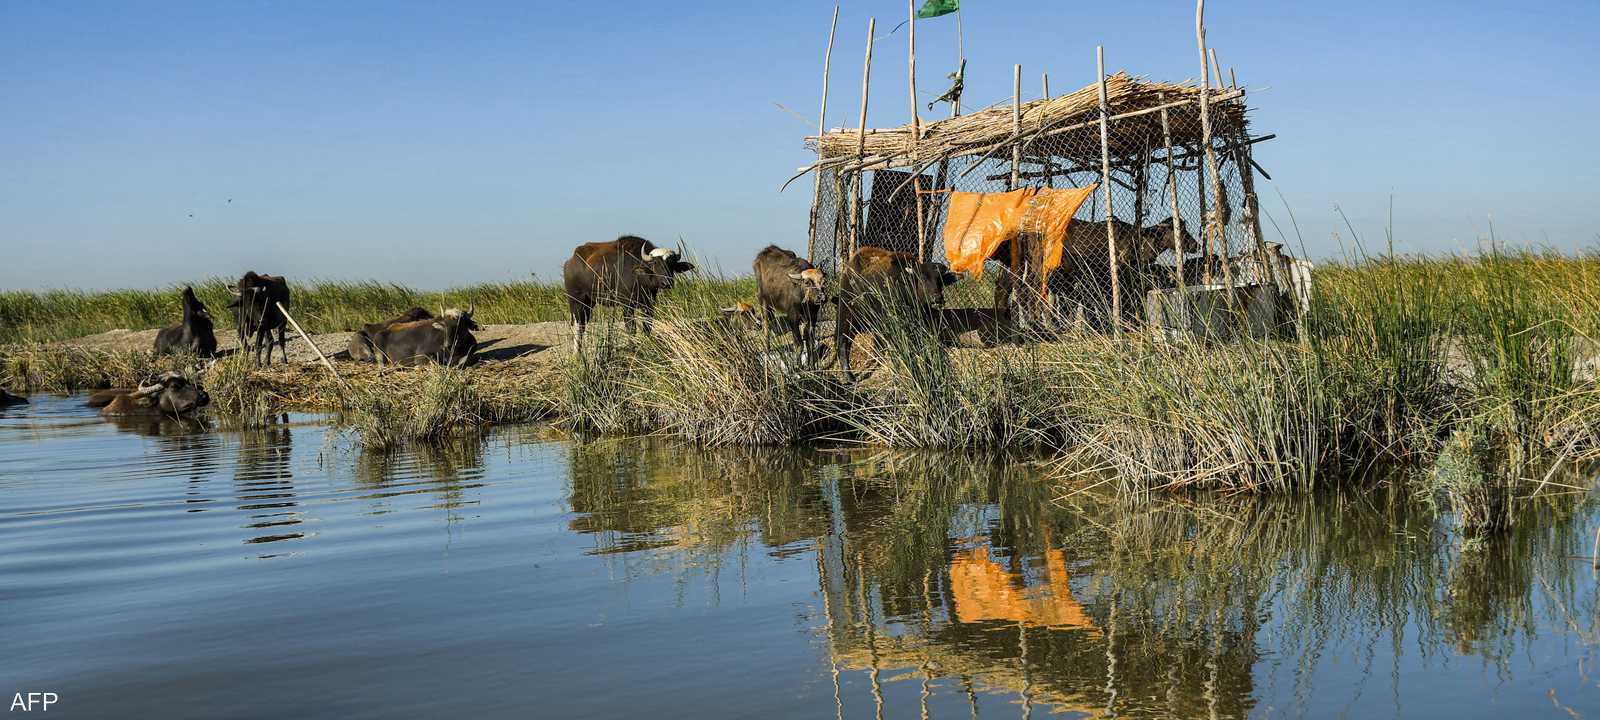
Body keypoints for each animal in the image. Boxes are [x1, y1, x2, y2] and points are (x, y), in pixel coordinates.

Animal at [563, 235, 694, 350]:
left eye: (671, 263)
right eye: (655, 263)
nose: (666, 283)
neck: (640, 279)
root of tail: (570, 261)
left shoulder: (649, 305)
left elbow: (647, 327)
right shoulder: (627, 305)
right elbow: (631, 329)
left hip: (589, 303)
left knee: (583, 325)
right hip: (576, 301)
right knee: (578, 326)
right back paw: (577, 354)